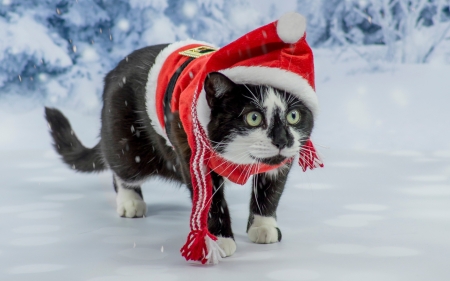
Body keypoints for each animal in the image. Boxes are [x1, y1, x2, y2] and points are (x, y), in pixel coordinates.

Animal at [44, 12, 322, 262]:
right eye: (253, 117)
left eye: (294, 116)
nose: (282, 140)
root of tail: (113, 71)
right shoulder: (192, 153)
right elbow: (210, 200)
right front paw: (219, 239)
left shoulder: (282, 161)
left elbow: (270, 189)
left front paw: (263, 227)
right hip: (127, 142)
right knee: (121, 167)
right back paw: (130, 201)